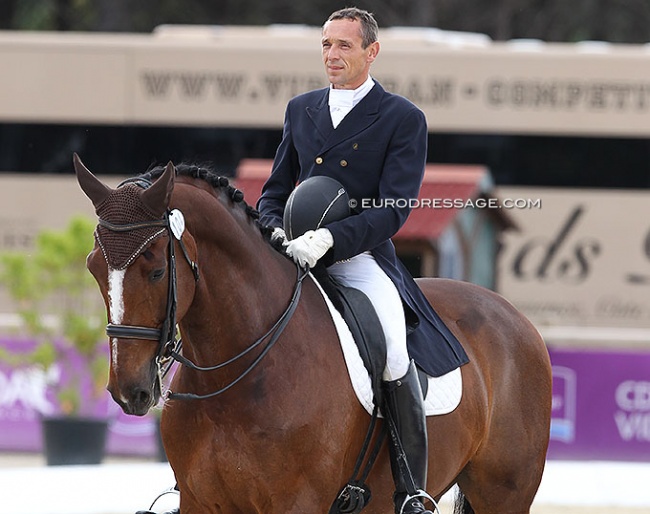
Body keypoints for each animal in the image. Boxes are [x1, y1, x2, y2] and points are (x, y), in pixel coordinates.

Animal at [73, 153, 548, 512]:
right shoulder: (201, 501)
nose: (129, 391)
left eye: (155, 270)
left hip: (503, 494)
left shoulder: (296, 503)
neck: (238, 372)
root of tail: (514, 316)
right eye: (93, 268)